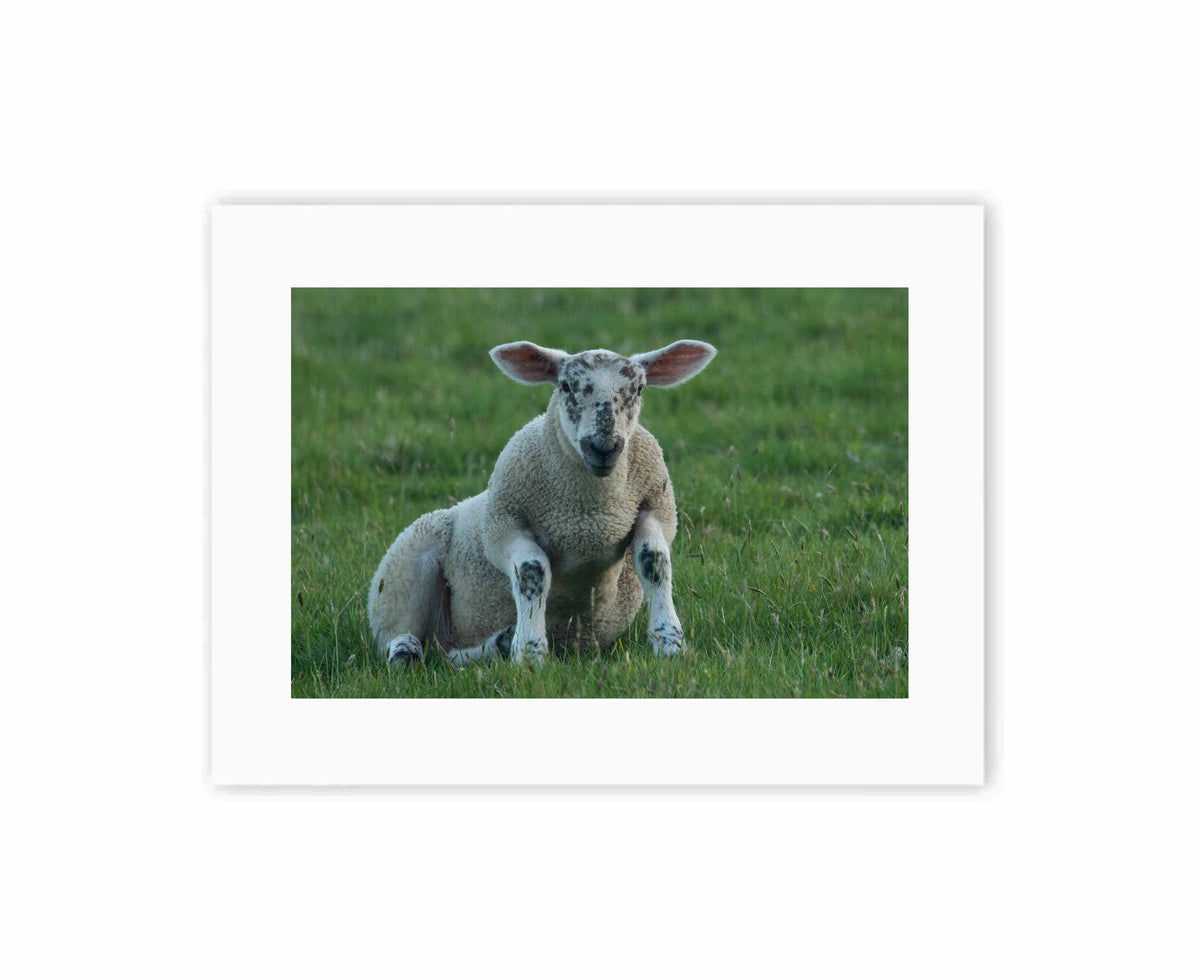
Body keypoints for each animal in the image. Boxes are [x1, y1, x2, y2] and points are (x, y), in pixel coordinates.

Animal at [368, 339, 717, 666]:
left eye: (639, 389)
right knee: (401, 635)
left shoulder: (655, 508)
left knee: (449, 655)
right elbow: (532, 573)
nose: (603, 447)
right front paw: (530, 652)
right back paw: (407, 653)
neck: (592, 513)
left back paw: (497, 643)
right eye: (566, 386)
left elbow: (655, 563)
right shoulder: (503, 525)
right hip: (399, 581)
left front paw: (669, 643)